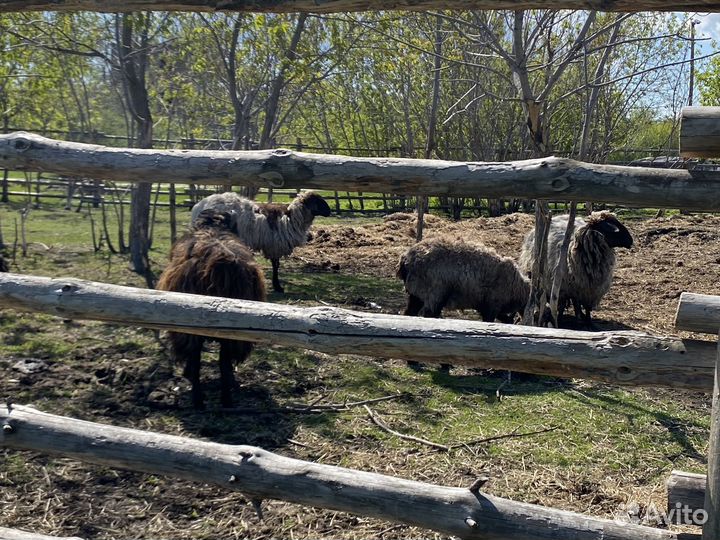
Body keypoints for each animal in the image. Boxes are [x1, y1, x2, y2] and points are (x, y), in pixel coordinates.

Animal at [156, 209, 267, 409]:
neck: (213, 225)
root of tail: (222, 263)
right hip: (235, 329)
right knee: (223, 361)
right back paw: (226, 399)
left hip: (190, 326)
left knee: (197, 360)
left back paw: (198, 400)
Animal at [191, 191, 332, 293]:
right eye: (319, 201)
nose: (330, 211)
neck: (292, 218)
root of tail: (198, 206)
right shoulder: (275, 245)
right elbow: (276, 265)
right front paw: (278, 286)